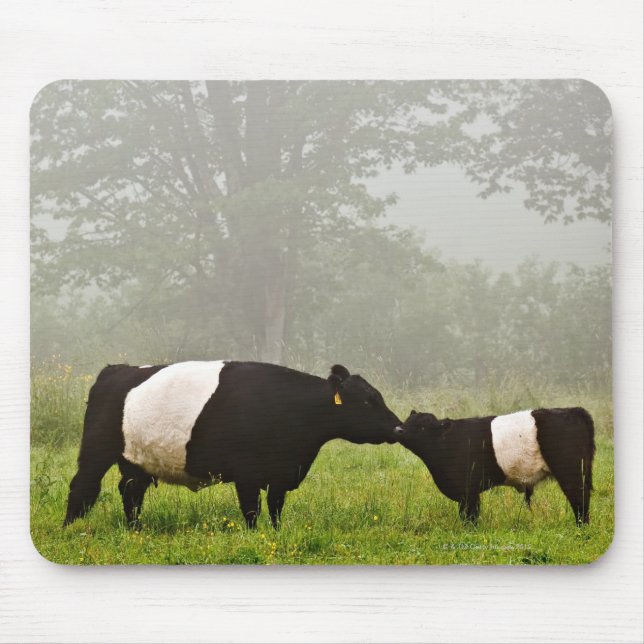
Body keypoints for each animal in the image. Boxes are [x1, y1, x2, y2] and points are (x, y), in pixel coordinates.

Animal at [63, 361, 401, 530]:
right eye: (368, 401)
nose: (398, 426)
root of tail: (116, 368)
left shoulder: (281, 473)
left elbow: (276, 509)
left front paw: (276, 534)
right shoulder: (248, 473)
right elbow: (252, 509)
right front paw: (254, 536)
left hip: (137, 460)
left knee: (131, 492)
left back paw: (135, 530)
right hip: (97, 448)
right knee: (83, 486)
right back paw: (69, 528)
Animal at [395, 407, 595, 525]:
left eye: (422, 427)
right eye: (407, 421)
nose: (399, 430)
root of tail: (574, 410)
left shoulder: (469, 490)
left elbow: (470, 514)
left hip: (571, 472)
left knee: (579, 499)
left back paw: (580, 527)